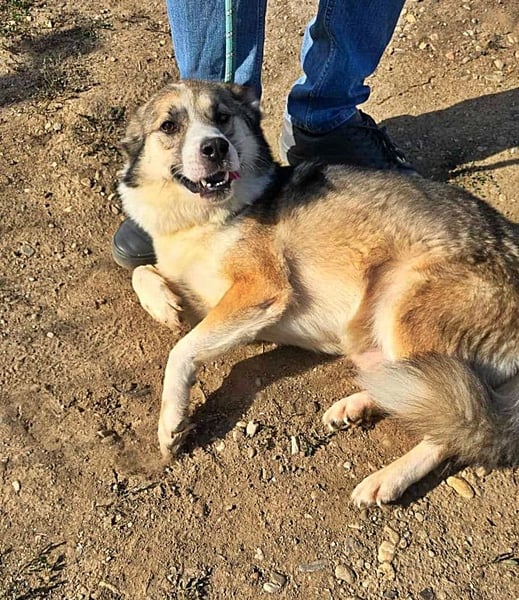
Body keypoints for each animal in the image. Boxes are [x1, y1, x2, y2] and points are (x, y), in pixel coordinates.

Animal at [118, 80, 519, 507]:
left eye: (222, 117)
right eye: (169, 126)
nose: (215, 147)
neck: (203, 217)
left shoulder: (259, 291)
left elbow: (181, 351)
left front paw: (171, 420)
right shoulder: (212, 300)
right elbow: (144, 272)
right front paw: (163, 303)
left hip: (403, 306)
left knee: (454, 426)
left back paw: (386, 479)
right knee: (416, 389)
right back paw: (356, 406)